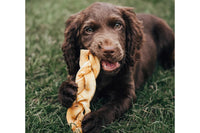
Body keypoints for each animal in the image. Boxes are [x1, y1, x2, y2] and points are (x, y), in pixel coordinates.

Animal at [57, 2, 173, 133]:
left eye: (118, 25)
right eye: (88, 30)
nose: (109, 50)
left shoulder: (126, 93)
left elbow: (113, 106)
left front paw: (95, 120)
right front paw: (66, 91)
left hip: (167, 34)